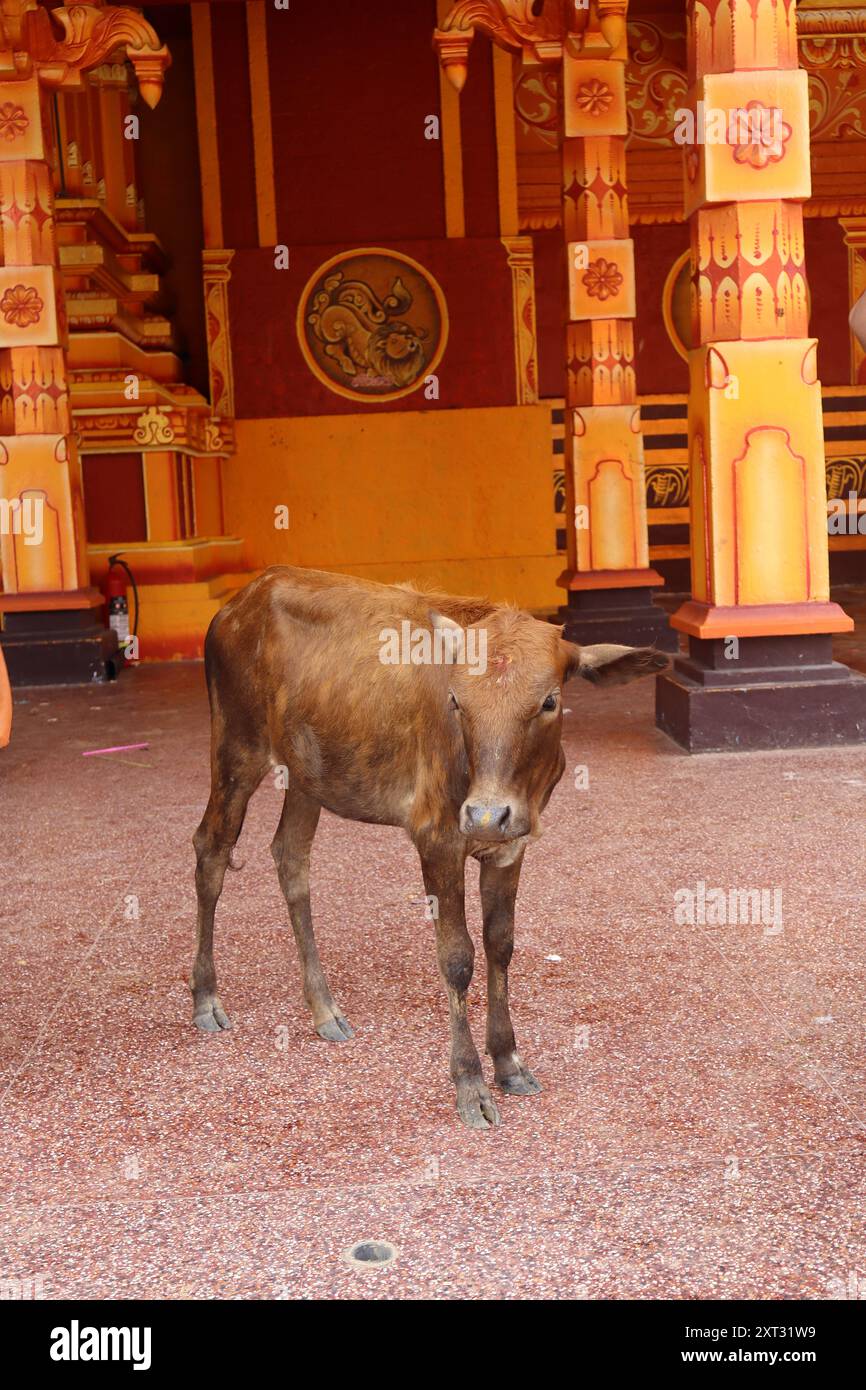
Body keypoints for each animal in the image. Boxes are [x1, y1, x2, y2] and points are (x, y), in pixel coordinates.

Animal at [191, 566, 669, 1129]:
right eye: (457, 701)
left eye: (550, 700)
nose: (485, 814)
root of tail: (244, 596)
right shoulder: (436, 836)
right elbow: (457, 958)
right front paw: (470, 1085)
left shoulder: (512, 844)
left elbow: (501, 945)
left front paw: (509, 1062)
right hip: (235, 747)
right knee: (211, 849)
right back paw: (206, 998)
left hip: (309, 772)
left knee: (290, 856)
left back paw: (324, 1009)